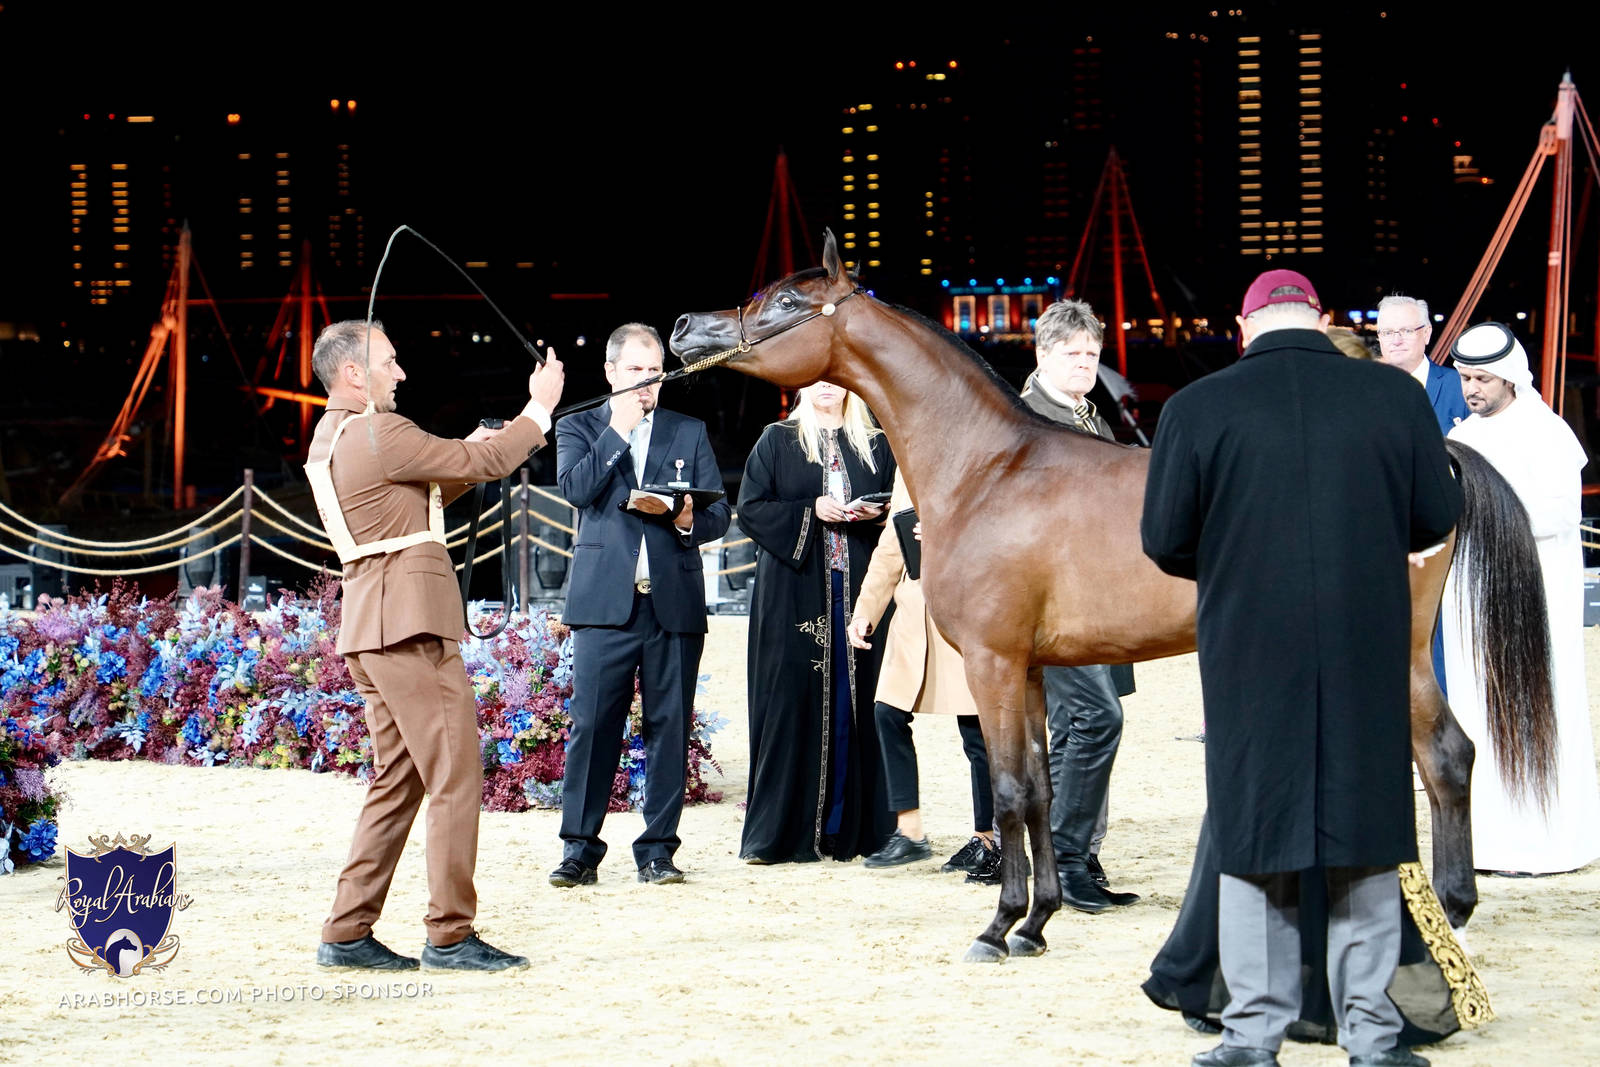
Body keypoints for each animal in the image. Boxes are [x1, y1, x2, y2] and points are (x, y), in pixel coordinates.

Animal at [670, 231, 1554, 961]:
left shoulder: (992, 662)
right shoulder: (1027, 669)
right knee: (1450, 754)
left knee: (1440, 756)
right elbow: (1042, 786)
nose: (683, 327)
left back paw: (1443, 915)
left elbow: (1011, 791)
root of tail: (1434, 455)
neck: (989, 467)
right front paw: (1037, 920)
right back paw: (1451, 910)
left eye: (789, 303)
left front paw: (998, 925)